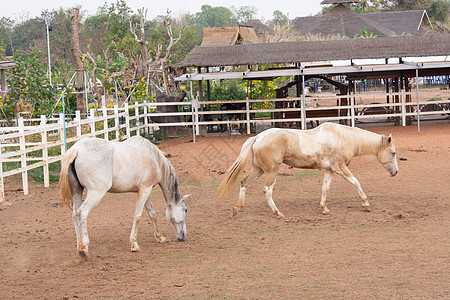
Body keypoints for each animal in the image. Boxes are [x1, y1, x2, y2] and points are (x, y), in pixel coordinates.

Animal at [59, 136, 189, 258]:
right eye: (185, 210)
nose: (183, 236)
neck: (153, 158)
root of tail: (76, 149)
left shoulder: (144, 190)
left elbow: (152, 214)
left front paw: (160, 237)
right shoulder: (145, 190)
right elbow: (138, 216)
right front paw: (134, 244)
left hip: (77, 191)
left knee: (75, 215)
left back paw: (79, 246)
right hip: (96, 193)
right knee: (83, 212)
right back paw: (84, 249)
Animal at [218, 122, 398, 218]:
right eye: (393, 153)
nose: (395, 172)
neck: (343, 138)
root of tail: (258, 137)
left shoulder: (330, 170)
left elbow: (325, 189)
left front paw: (324, 208)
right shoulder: (340, 168)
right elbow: (356, 182)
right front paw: (365, 203)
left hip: (259, 170)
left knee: (244, 183)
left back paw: (237, 209)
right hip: (271, 171)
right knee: (267, 190)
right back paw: (278, 213)